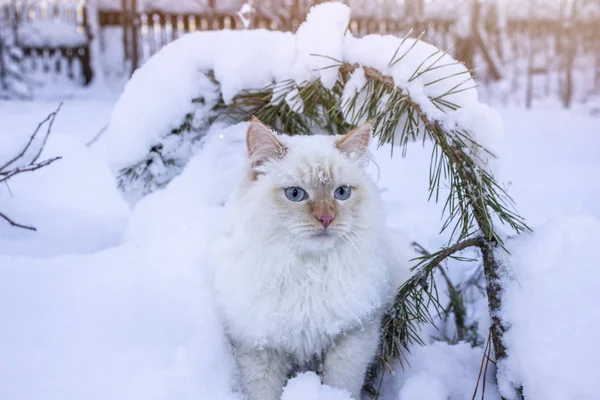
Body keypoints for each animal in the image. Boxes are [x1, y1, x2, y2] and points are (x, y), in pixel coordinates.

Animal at [212, 119, 412, 400]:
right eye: (295, 194)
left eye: (342, 193)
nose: (327, 218)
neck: (309, 271)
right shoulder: (260, 348)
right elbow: (263, 392)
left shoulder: (353, 337)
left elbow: (340, 387)